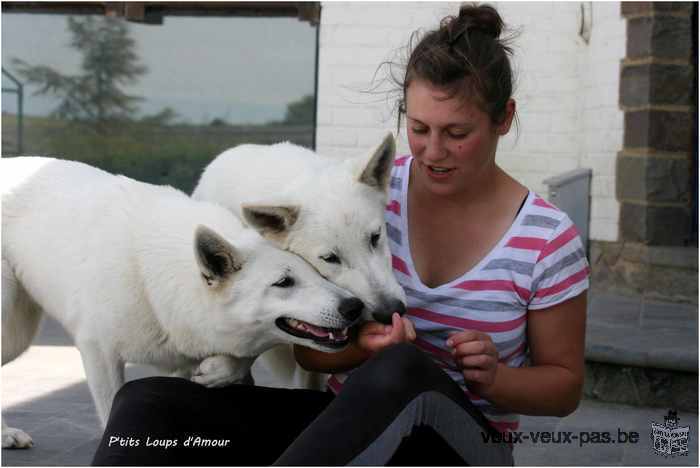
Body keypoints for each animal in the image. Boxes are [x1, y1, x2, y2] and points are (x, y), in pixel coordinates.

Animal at [0, 158, 360, 450]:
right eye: (284, 282)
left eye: (317, 270)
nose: (355, 307)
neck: (152, 279)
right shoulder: (99, 354)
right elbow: (112, 406)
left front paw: (221, 370)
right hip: (13, 332)